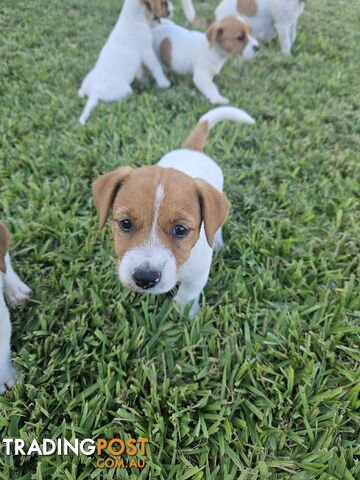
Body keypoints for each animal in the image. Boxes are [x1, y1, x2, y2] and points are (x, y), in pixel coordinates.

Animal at [93, 109, 256, 318]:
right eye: (125, 223)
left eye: (180, 230)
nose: (145, 278)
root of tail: (192, 150)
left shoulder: (198, 274)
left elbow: (188, 293)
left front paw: (184, 313)